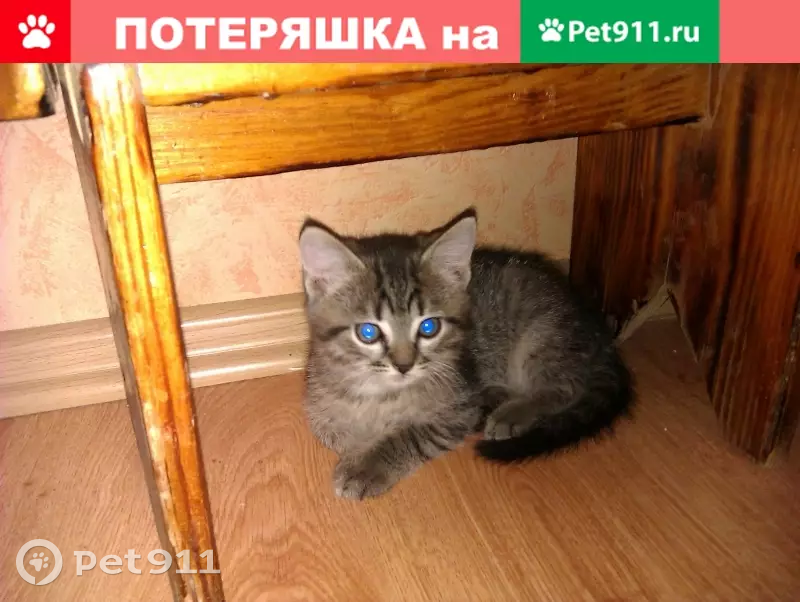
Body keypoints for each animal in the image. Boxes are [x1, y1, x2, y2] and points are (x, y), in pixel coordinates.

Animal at [299, 209, 633, 500]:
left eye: (429, 327)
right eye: (368, 332)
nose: (404, 366)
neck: (378, 394)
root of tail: (594, 325)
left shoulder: (459, 406)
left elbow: (412, 434)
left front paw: (368, 465)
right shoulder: (318, 401)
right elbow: (328, 429)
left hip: (541, 335)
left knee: (567, 386)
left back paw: (512, 411)